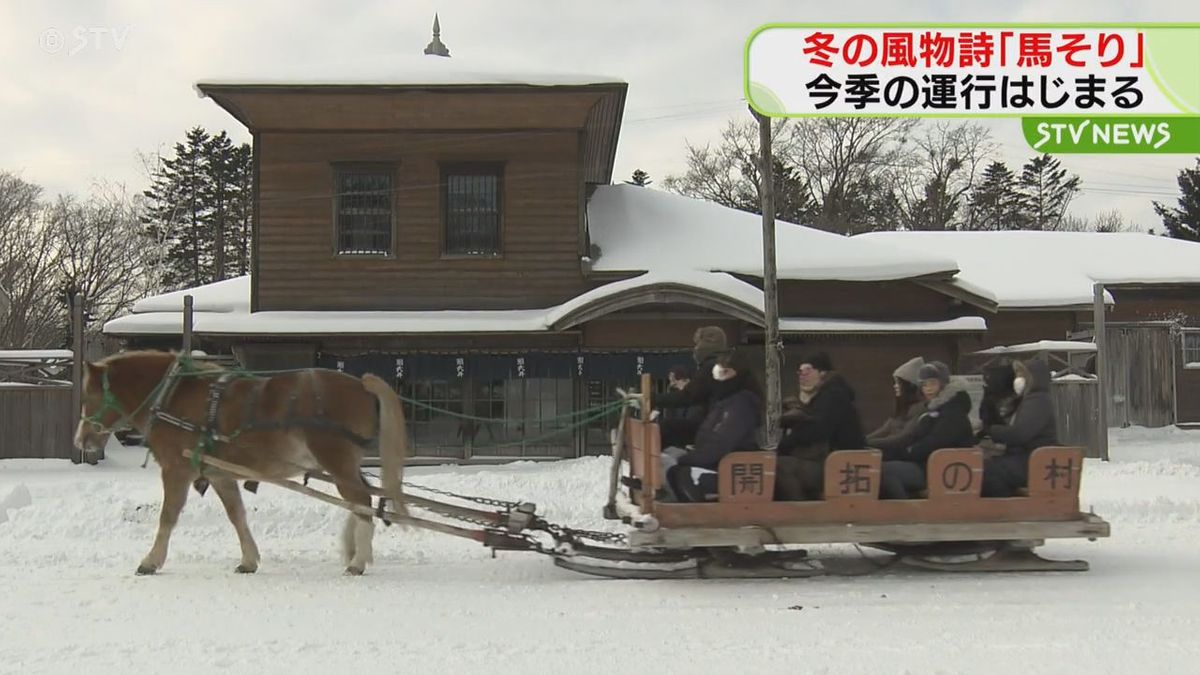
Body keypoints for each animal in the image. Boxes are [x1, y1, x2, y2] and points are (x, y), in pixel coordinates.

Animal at [73, 348, 408, 576]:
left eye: (87, 397)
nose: (80, 441)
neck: (173, 398)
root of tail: (361, 385)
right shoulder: (220, 474)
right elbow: (237, 515)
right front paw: (249, 559)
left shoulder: (176, 470)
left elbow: (167, 517)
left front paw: (151, 561)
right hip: (344, 464)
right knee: (360, 501)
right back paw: (353, 550)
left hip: (337, 460)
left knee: (361, 501)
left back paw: (357, 561)